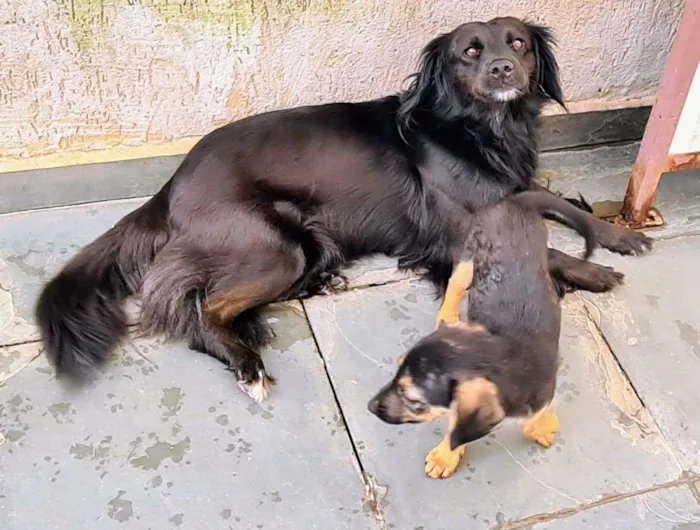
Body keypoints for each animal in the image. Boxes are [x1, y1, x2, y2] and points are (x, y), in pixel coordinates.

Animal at [37, 18, 652, 402]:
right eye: (470, 52)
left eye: (518, 43)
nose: (503, 68)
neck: (483, 130)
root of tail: (170, 185)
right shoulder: (460, 233)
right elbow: (547, 249)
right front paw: (593, 271)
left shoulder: (516, 189)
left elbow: (561, 206)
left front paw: (619, 236)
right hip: (274, 248)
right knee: (199, 309)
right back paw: (247, 365)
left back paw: (317, 285)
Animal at [370, 191, 620, 478]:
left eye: (413, 400)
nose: (370, 406)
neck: (503, 354)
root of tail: (515, 201)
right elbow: (459, 427)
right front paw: (447, 455)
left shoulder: (541, 391)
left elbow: (529, 417)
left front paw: (542, 425)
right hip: (469, 257)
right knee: (456, 284)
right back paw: (448, 315)